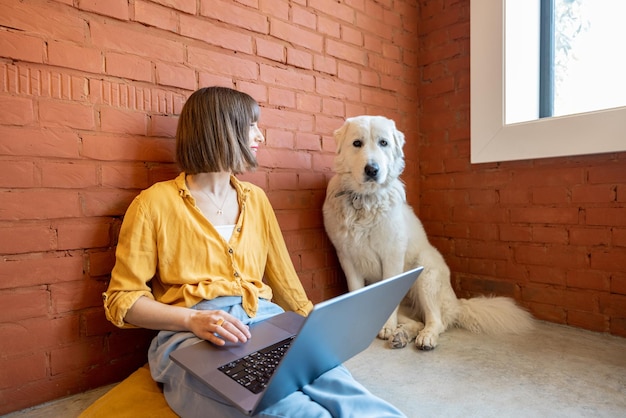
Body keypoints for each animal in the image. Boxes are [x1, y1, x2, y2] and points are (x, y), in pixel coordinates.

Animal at [322, 116, 532, 352]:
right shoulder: (347, 258)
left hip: (425, 272)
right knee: (417, 321)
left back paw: (424, 338)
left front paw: (386, 327)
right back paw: (402, 335)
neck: (365, 201)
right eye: (357, 143)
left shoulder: (392, 256)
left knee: (436, 321)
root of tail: (457, 302)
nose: (372, 169)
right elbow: (354, 290)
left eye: (383, 143)